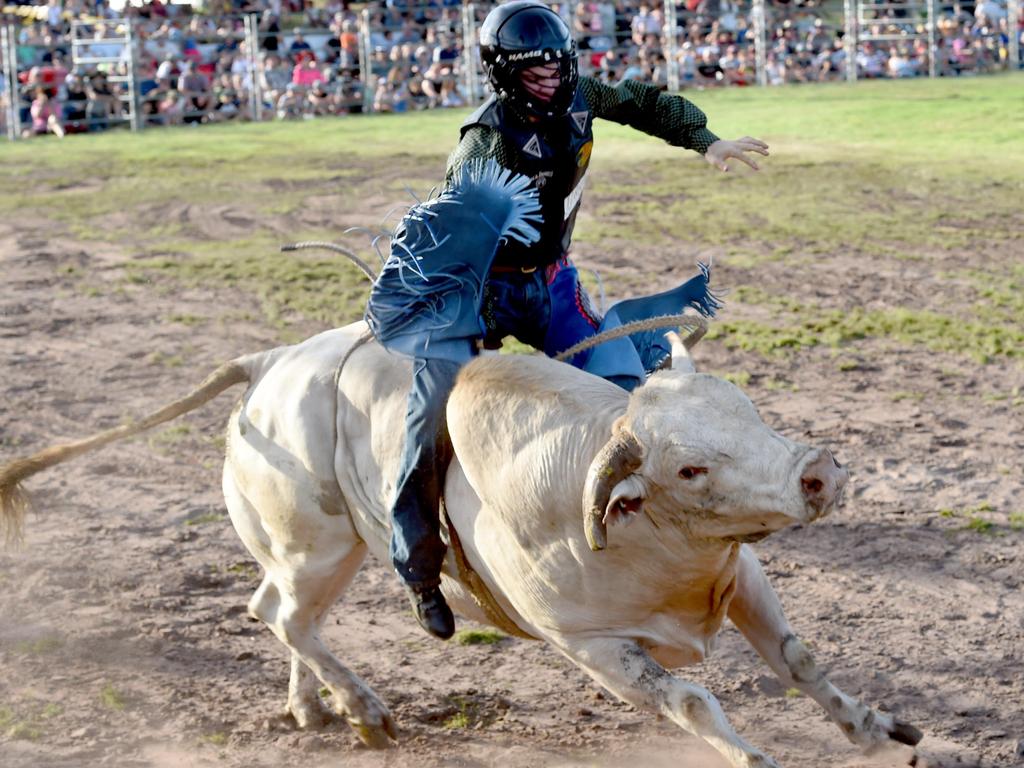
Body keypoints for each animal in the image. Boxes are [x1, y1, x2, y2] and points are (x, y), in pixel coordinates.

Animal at [0, 321, 925, 765]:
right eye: (690, 468)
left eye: (747, 409)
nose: (817, 472)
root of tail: (270, 365)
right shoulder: (592, 649)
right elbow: (693, 703)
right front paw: (755, 757)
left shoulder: (743, 576)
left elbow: (799, 659)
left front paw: (875, 729)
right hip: (319, 550)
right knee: (288, 617)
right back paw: (364, 712)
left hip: (306, 555)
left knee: (275, 610)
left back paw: (311, 707)